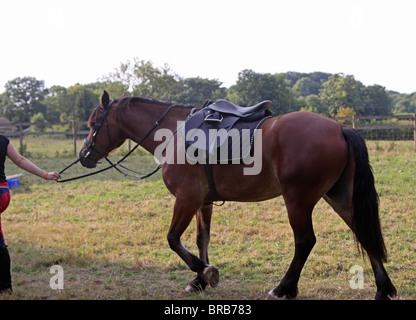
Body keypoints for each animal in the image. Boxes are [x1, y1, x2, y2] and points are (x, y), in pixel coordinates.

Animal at [77, 90, 396, 300]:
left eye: (93, 124)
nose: (84, 156)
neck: (174, 133)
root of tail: (340, 127)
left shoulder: (186, 198)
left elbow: (173, 239)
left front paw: (204, 272)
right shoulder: (202, 201)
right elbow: (201, 239)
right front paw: (199, 280)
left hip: (298, 200)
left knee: (305, 241)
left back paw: (284, 288)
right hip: (339, 196)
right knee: (363, 231)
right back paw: (383, 288)